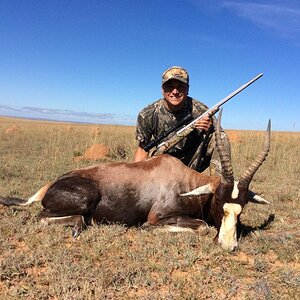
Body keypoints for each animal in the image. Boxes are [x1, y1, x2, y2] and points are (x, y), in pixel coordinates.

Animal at [0, 113, 270, 252]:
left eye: (241, 208)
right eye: (219, 202)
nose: (228, 246)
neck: (185, 181)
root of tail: (50, 185)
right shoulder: (159, 216)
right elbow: (202, 226)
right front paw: (146, 228)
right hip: (83, 199)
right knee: (43, 216)